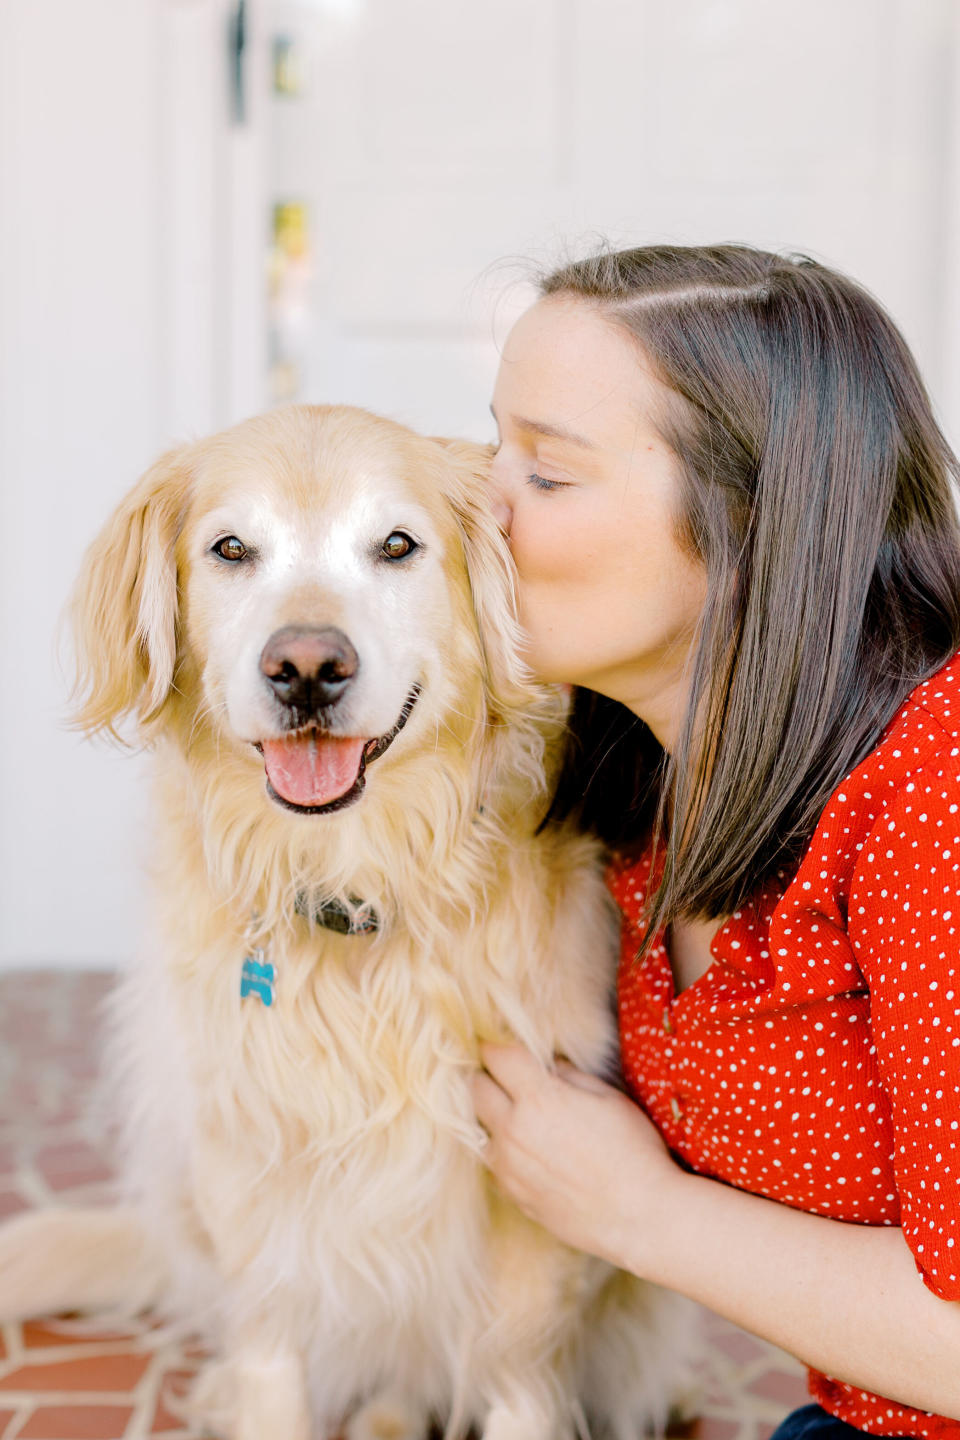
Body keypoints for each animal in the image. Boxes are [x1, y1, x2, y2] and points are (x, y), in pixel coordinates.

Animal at [0, 408, 693, 1440]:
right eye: (231, 549)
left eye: (397, 546)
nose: (307, 669)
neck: (355, 888)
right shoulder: (249, 1181)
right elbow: (272, 1370)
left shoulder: (538, 1200)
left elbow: (519, 1384)